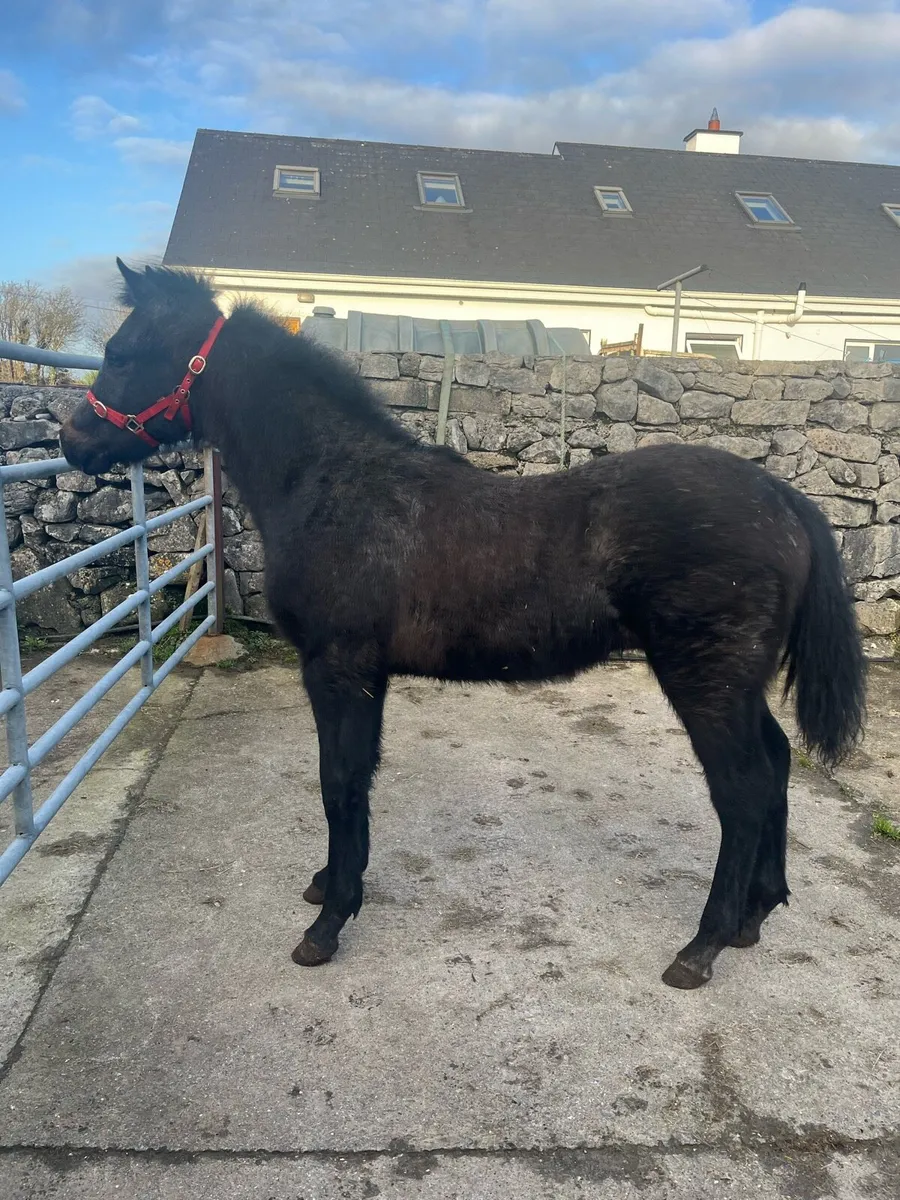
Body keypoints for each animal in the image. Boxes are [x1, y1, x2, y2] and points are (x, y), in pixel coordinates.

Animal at [60, 260, 866, 990]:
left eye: (122, 353)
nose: (72, 440)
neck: (334, 484)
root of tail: (782, 498)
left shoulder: (338, 669)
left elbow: (338, 781)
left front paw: (328, 923)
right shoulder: (363, 677)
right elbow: (353, 780)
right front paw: (330, 884)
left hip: (708, 684)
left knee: (743, 791)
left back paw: (703, 946)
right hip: (738, 686)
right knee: (776, 766)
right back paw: (757, 914)